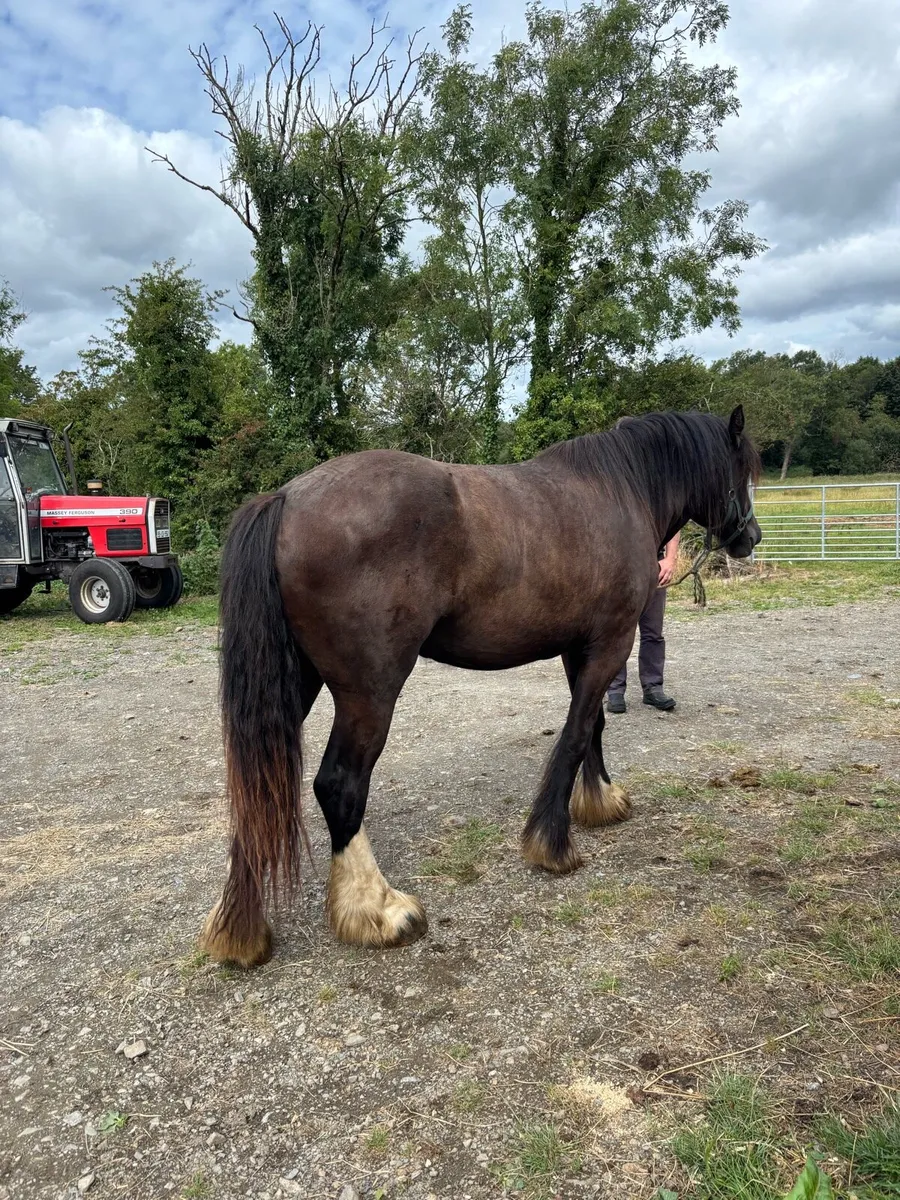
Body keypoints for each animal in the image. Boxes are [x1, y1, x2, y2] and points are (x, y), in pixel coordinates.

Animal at [199, 406, 761, 968]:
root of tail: (286, 498)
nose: (750, 537)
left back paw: (239, 930)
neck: (619, 491)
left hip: (295, 684)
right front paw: (552, 844)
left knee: (258, 788)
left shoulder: (580, 648)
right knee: (338, 785)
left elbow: (594, 725)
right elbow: (577, 733)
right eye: (742, 470)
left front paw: (600, 802)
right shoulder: (611, 642)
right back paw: (378, 910)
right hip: (369, 694)